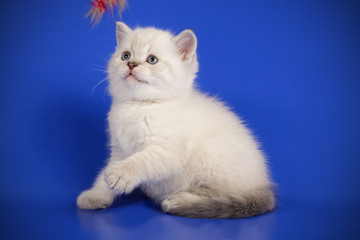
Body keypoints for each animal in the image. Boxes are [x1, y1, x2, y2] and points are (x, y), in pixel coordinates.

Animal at [77, 21, 276, 218]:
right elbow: (104, 176)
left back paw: (177, 200)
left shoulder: (167, 154)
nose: (131, 64)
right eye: (126, 56)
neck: (139, 106)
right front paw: (94, 196)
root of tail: (263, 185)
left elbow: (141, 161)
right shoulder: (119, 151)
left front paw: (119, 174)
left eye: (152, 60)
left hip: (211, 159)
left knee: (223, 197)